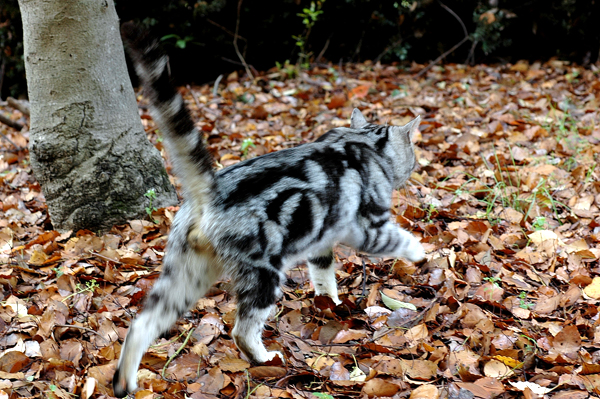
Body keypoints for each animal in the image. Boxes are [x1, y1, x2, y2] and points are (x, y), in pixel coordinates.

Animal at [111, 23, 422, 398]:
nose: (416, 168)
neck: (365, 141)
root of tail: (211, 192)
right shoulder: (369, 227)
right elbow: (399, 240)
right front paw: (422, 253)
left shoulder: (321, 240)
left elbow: (324, 276)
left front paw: (329, 303)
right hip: (264, 272)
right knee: (242, 331)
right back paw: (265, 358)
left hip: (187, 274)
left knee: (142, 323)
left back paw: (124, 382)